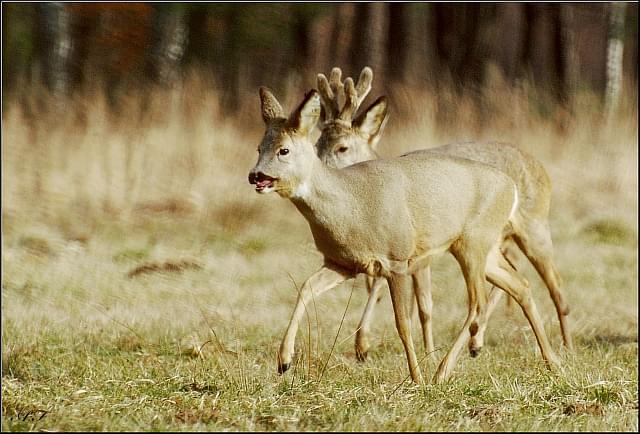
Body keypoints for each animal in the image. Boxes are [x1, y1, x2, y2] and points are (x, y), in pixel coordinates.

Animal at [248, 85, 556, 384]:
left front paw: (416, 377)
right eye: (259, 147)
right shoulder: (342, 263)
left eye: (284, 150)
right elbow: (305, 288)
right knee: (521, 285)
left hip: (474, 242)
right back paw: (553, 362)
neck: (350, 206)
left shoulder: (396, 259)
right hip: (484, 248)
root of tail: (511, 186)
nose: (255, 176)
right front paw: (284, 361)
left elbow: (403, 322)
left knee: (478, 303)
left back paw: (442, 372)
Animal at [318, 67, 572, 362]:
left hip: (535, 224)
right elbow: (389, 292)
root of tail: (541, 168)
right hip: (496, 240)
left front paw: (423, 353)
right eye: (317, 144)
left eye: (342, 147)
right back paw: (478, 343)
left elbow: (423, 306)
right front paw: (364, 346)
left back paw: (566, 347)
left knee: (556, 286)